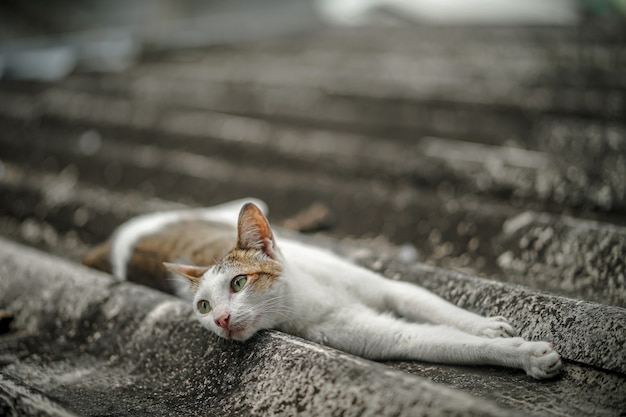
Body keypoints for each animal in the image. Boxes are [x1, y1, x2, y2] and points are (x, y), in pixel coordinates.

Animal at [83, 197, 560, 376]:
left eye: (239, 282)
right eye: (201, 307)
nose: (220, 319)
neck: (307, 297)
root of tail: (118, 239)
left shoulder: (387, 288)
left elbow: (430, 304)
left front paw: (487, 326)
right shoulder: (384, 335)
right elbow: (444, 341)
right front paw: (523, 354)